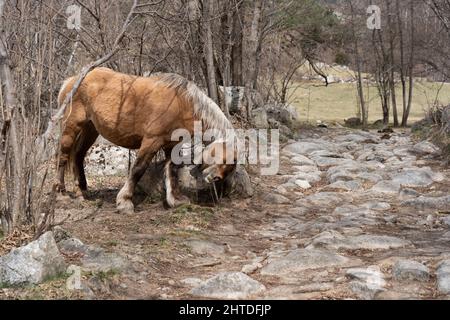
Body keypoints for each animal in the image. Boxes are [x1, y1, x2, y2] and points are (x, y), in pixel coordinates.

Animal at [56, 67, 237, 212]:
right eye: (225, 159)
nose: (217, 179)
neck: (181, 103)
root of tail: (71, 80)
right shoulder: (151, 142)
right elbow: (138, 169)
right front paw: (125, 202)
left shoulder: (171, 146)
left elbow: (171, 171)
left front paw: (175, 200)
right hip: (71, 127)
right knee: (63, 156)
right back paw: (61, 193)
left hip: (90, 130)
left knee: (78, 156)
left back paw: (81, 192)